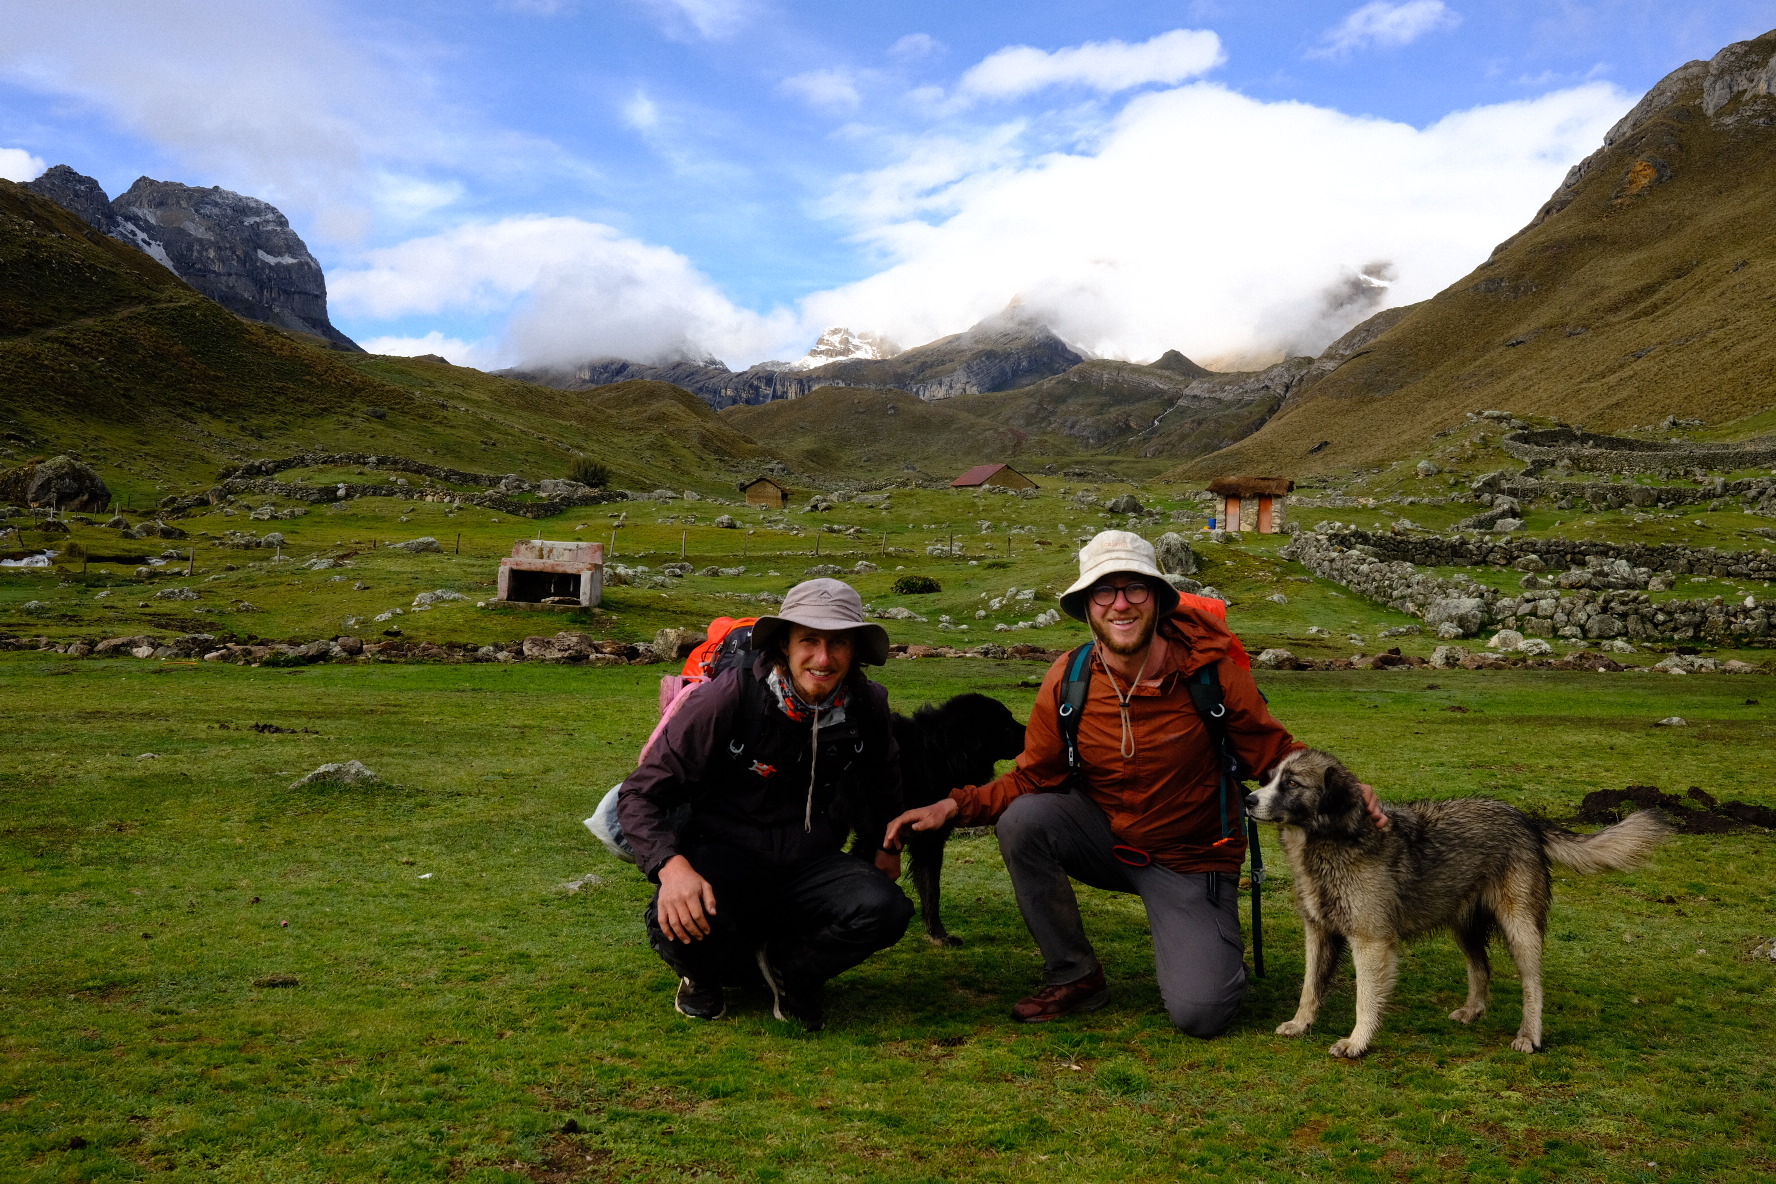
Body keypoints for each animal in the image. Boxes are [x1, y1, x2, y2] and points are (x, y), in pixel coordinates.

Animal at [880, 695, 1022, 944]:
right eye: (1006, 724)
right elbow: (931, 890)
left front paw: (937, 934)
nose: (1030, 731)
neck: (942, 752)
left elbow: (930, 890)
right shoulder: (926, 840)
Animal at [1243, 749, 1669, 1057]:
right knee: (1481, 968)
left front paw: (1357, 1042)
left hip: (1520, 927)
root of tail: (1525, 819)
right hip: (1465, 925)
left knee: (1532, 984)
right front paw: (1301, 1024)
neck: (1332, 840)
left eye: (1292, 782)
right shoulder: (1319, 931)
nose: (1247, 798)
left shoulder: (1370, 941)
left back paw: (1529, 1036)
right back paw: (1473, 1010)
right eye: (1270, 778)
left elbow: (1366, 999)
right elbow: (1310, 986)